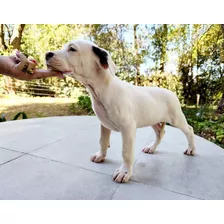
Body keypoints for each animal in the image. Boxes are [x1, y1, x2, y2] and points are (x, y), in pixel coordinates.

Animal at [46, 40, 196, 183]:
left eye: (72, 49)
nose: (47, 54)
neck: (102, 90)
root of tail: (171, 92)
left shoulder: (128, 127)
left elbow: (126, 152)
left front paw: (124, 172)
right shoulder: (104, 124)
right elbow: (103, 141)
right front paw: (101, 156)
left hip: (176, 118)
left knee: (189, 130)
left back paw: (191, 149)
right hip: (153, 119)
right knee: (160, 133)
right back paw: (152, 148)